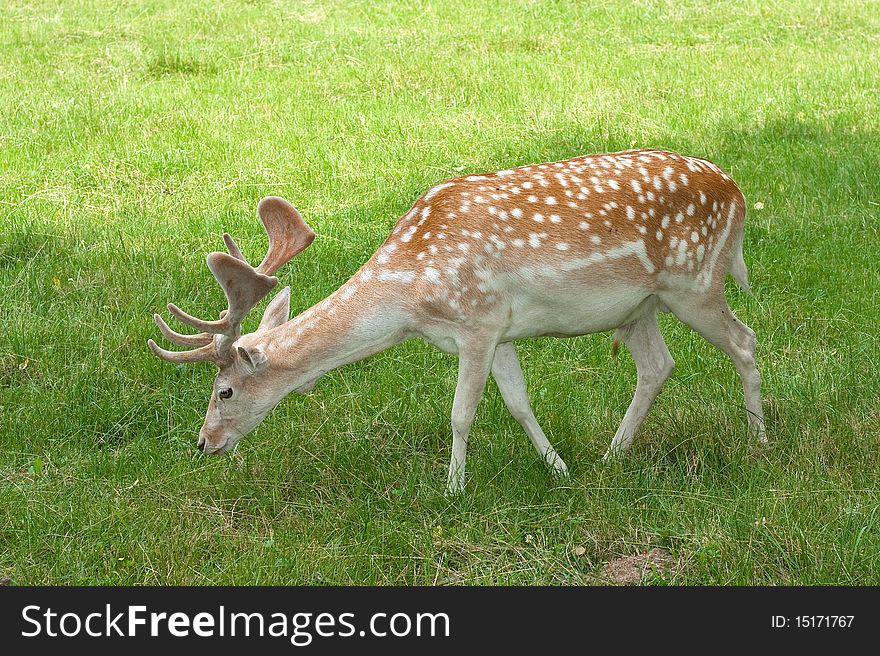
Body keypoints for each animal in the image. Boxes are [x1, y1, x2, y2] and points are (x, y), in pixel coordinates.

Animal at [150, 149, 764, 492]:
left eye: (224, 391)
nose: (202, 443)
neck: (411, 300)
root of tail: (737, 190)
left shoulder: (478, 321)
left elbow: (462, 413)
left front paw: (453, 488)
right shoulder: (503, 329)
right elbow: (518, 402)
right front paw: (559, 469)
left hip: (695, 282)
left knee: (745, 340)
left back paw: (758, 441)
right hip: (640, 306)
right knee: (659, 365)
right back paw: (613, 455)